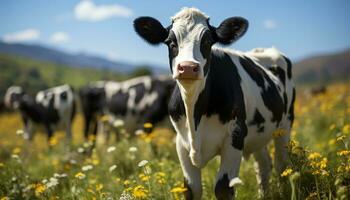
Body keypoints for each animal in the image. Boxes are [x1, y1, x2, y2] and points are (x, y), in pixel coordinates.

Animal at [135, 7, 296, 198]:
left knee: (282, 166)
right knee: (264, 165)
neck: (194, 116)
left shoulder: (235, 136)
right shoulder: (181, 143)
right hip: (259, 133)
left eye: (208, 41)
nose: (187, 67)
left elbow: (223, 188)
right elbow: (191, 189)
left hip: (285, 125)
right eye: (170, 42)